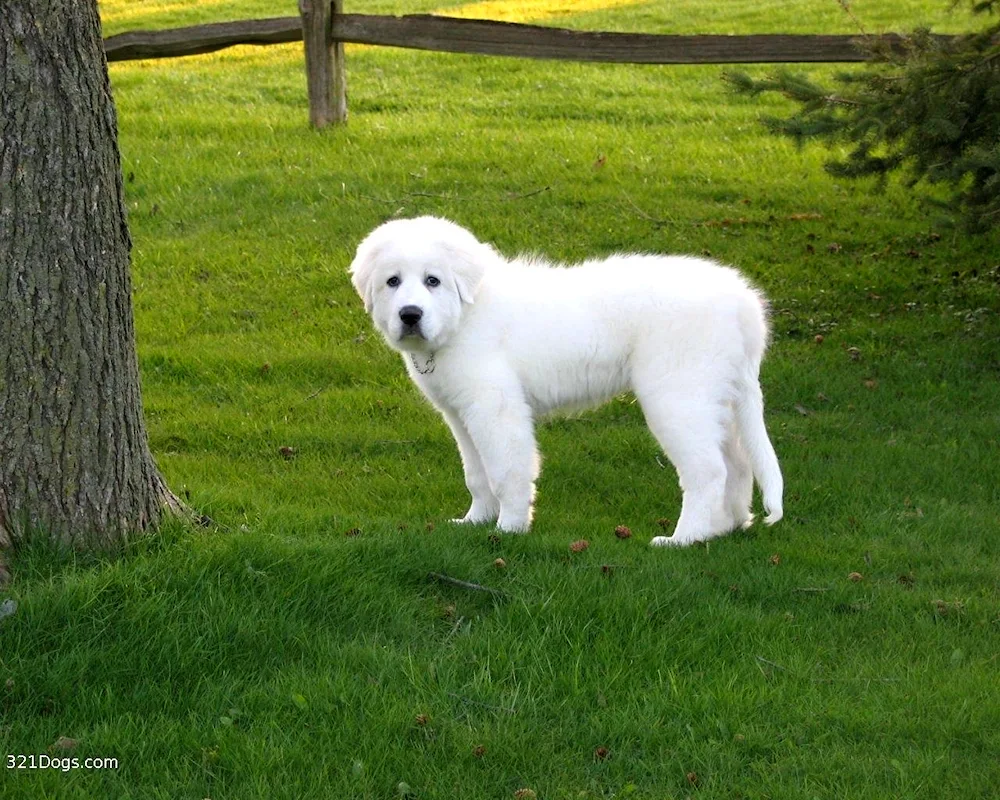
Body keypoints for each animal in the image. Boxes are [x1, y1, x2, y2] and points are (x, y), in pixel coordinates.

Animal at [352, 216, 780, 548]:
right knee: (738, 465)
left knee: (709, 471)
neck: (466, 315)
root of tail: (742, 302)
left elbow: (506, 471)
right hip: (715, 397)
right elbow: (476, 473)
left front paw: (509, 529)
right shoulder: (461, 414)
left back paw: (683, 539)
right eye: (392, 282)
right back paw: (724, 528)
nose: (410, 315)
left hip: (677, 398)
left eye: (433, 281)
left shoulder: (496, 409)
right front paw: (473, 521)